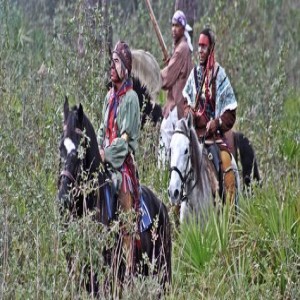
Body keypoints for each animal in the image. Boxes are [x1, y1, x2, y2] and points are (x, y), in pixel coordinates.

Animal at [57, 98, 172, 296]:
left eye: (79, 150)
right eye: (60, 148)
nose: (64, 198)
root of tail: (161, 207)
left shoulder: (107, 273)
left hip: (162, 271)